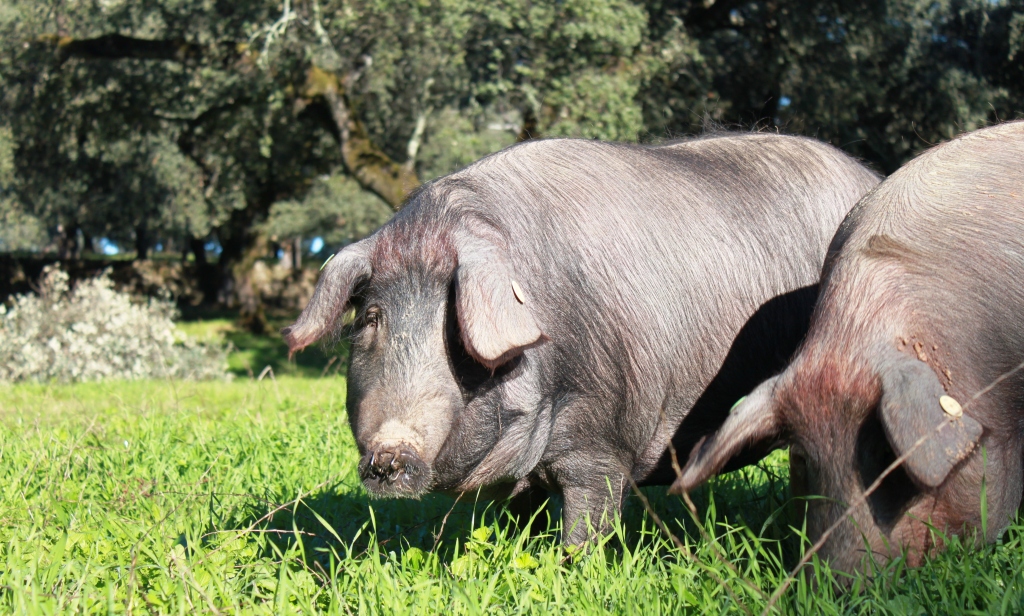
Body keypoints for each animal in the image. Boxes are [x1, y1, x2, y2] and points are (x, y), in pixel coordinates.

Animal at [284, 132, 876, 540]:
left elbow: (590, 517)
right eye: (371, 318)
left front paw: (575, 567)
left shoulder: (604, 431)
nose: (391, 450)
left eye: (454, 332)